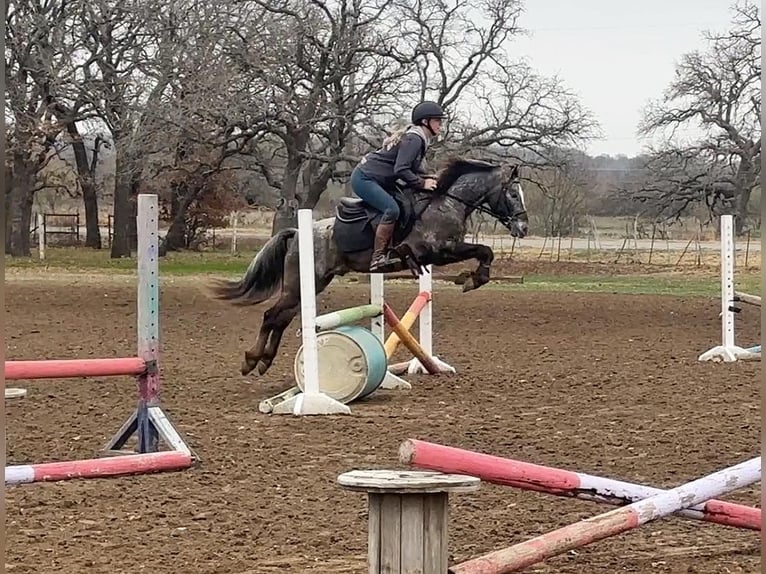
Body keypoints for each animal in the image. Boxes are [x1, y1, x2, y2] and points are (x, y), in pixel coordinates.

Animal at [213, 158, 532, 378]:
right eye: (512, 194)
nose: (523, 227)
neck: (446, 203)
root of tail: (297, 233)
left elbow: (484, 251)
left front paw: (471, 277)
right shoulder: (438, 252)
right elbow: (484, 250)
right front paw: (472, 278)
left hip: (311, 284)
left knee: (282, 318)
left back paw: (264, 361)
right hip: (299, 283)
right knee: (272, 315)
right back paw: (251, 360)